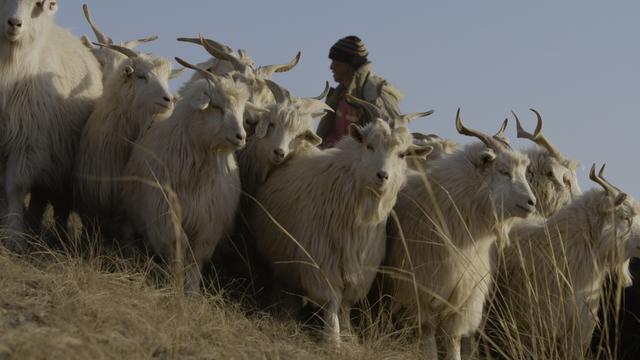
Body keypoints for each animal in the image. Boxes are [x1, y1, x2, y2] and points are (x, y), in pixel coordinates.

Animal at [0, 0, 103, 252]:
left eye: (38, 4)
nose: (14, 23)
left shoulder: (26, 143)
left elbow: (14, 189)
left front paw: (13, 237)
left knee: (53, 203)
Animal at [120, 57, 268, 292]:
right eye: (216, 106)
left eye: (242, 109)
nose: (241, 137)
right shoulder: (166, 213)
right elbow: (178, 247)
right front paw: (174, 282)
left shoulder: (208, 222)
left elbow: (196, 259)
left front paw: (191, 290)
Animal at [248, 95, 432, 344]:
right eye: (369, 145)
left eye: (402, 154)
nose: (382, 176)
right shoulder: (323, 260)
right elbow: (332, 299)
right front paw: (332, 337)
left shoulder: (360, 266)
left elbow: (345, 303)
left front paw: (347, 334)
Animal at [388, 110, 536, 360]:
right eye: (503, 171)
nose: (531, 202)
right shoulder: (422, 292)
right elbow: (428, 335)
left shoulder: (464, 297)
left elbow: (453, 338)